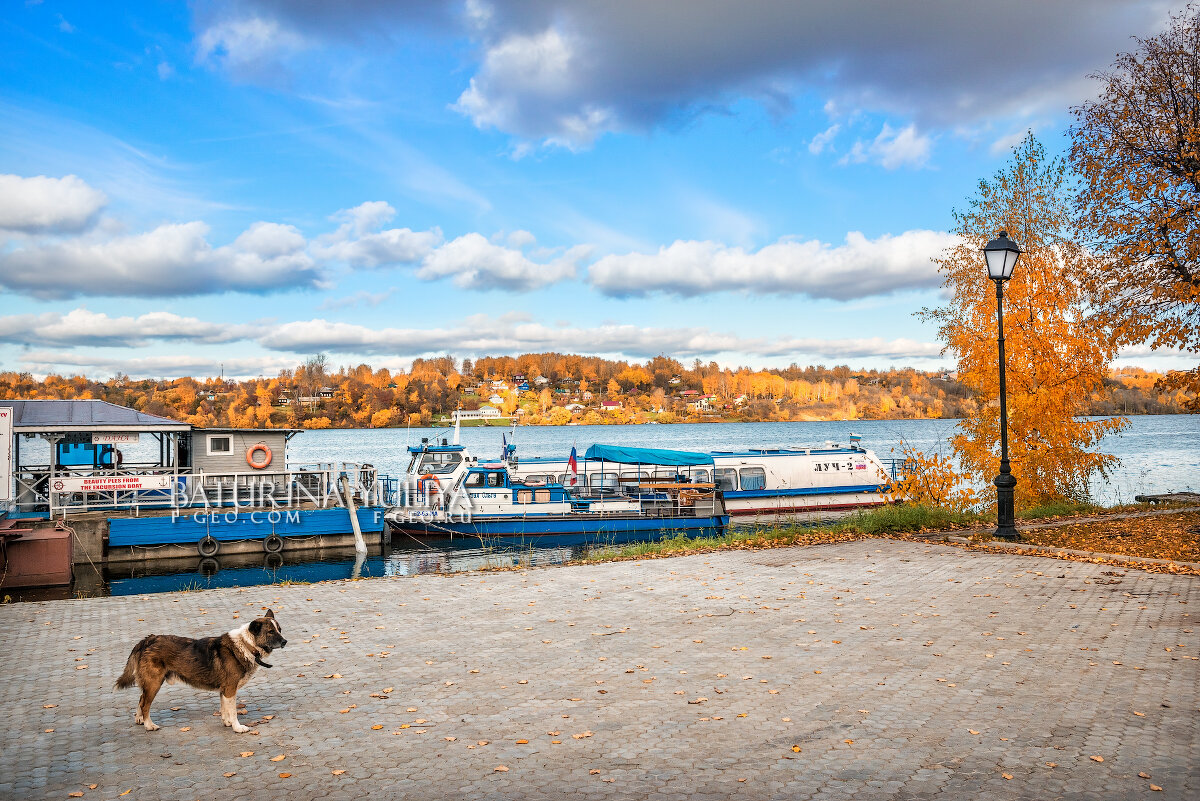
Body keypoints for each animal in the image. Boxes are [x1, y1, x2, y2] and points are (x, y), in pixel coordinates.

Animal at [114, 606, 288, 733]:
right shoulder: (230, 689)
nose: (285, 641)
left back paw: (140, 719)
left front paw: (226, 722)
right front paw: (237, 727)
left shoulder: (224, 690)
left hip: (150, 683)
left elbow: (224, 709)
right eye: (270, 632)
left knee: (141, 699)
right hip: (154, 683)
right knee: (145, 704)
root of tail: (149, 639)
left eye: (280, 629)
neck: (246, 645)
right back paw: (149, 725)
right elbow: (232, 711)